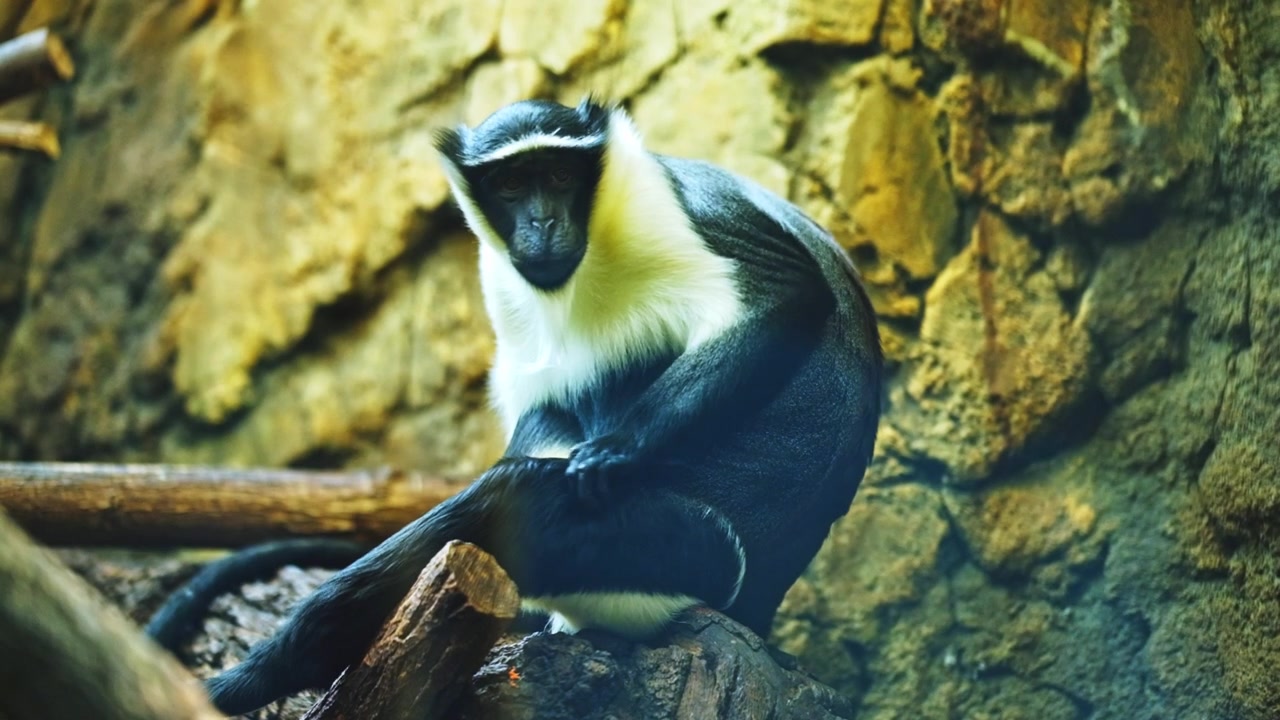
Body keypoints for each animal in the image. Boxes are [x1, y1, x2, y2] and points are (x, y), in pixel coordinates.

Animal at [145, 96, 882, 716]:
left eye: (556, 177)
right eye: (509, 187)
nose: (542, 223)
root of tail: (757, 608)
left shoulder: (673, 211)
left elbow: (787, 296)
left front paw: (609, 454)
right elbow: (549, 405)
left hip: (687, 555)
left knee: (516, 497)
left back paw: (258, 676)